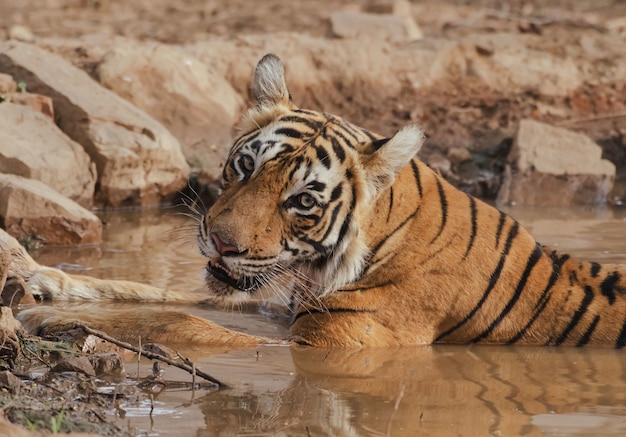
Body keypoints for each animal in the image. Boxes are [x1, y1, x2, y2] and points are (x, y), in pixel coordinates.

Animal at [8, 53, 624, 348]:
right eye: (246, 166)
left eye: (303, 201)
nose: (222, 243)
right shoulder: (275, 304)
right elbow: (156, 293)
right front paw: (44, 279)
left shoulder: (338, 343)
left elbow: (182, 322)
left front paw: (46, 318)